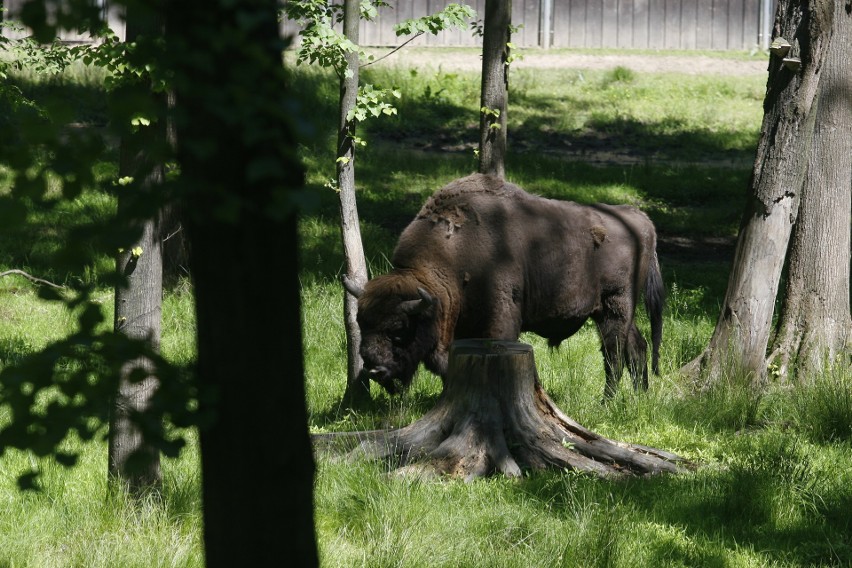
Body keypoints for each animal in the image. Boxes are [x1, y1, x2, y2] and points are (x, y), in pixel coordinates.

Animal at [342, 173, 664, 400]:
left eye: (398, 329)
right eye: (361, 322)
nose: (374, 369)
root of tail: (640, 219)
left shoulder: (500, 318)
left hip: (614, 305)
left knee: (614, 353)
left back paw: (607, 400)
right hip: (614, 311)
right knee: (637, 346)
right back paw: (640, 396)